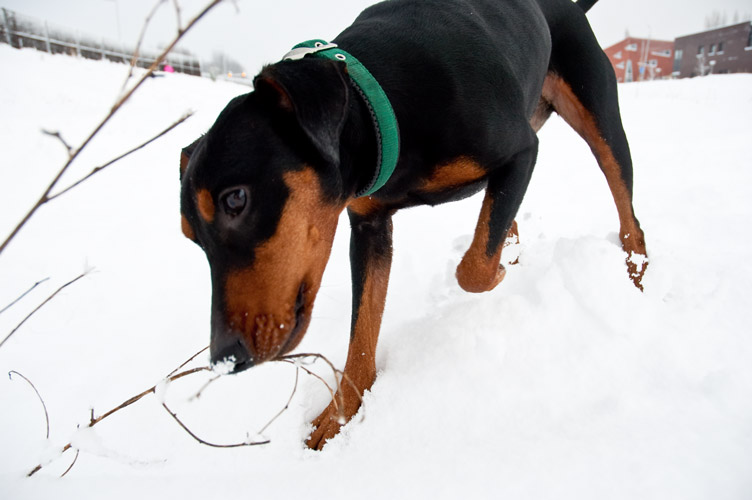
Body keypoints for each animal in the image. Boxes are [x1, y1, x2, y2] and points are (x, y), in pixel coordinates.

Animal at [181, 0, 648, 450]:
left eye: (235, 199)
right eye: (192, 238)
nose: (225, 356)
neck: (378, 99)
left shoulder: (521, 152)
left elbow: (473, 270)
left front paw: (498, 271)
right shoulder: (369, 225)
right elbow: (362, 331)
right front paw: (338, 418)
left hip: (597, 116)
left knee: (626, 211)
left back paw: (635, 274)